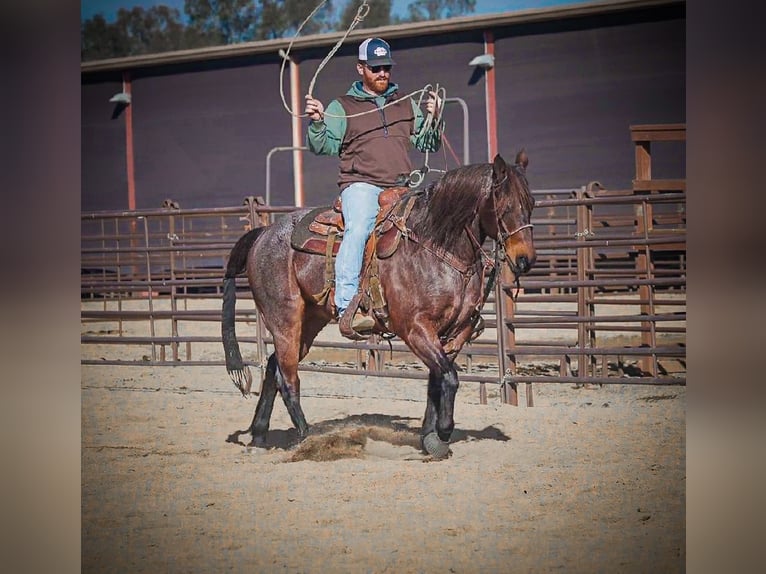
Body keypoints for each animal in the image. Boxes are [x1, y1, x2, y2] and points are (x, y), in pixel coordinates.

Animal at [221, 151, 536, 459]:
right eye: (505, 206)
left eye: (531, 204)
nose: (525, 259)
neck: (436, 246)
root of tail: (263, 234)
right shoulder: (415, 329)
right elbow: (449, 377)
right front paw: (443, 434)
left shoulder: (456, 333)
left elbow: (437, 380)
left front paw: (428, 437)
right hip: (284, 319)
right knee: (288, 379)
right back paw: (308, 439)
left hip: (308, 324)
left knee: (274, 367)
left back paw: (259, 436)